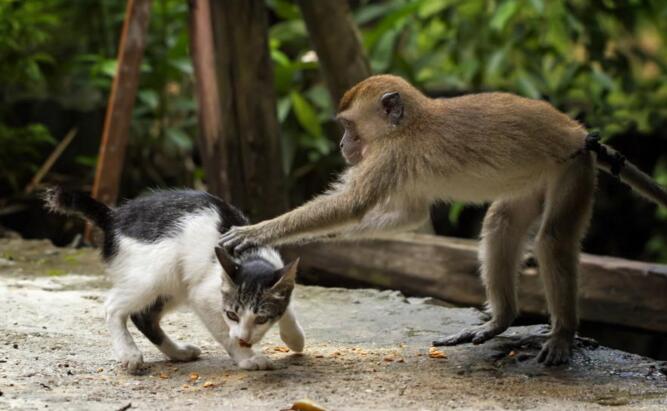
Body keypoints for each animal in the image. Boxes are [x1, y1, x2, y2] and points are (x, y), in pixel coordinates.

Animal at [45, 188, 306, 374]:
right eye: (232, 314)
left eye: (261, 318)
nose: (244, 338)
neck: (249, 255)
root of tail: (115, 217)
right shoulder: (203, 296)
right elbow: (224, 333)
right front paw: (247, 358)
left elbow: (288, 307)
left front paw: (294, 338)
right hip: (158, 270)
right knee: (113, 307)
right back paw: (128, 352)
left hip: (176, 285)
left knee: (144, 317)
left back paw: (178, 353)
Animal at [224, 75, 667, 366]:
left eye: (348, 126)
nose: (343, 144)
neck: (409, 124)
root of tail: (578, 133)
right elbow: (409, 214)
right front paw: (323, 242)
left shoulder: (390, 154)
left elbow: (352, 204)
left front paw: (259, 231)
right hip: (539, 176)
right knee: (500, 225)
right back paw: (501, 321)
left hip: (572, 169)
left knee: (553, 239)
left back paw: (561, 334)